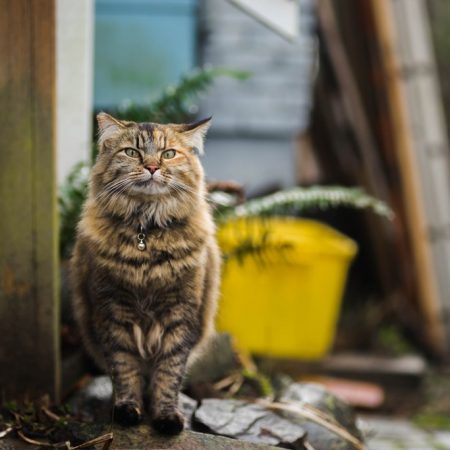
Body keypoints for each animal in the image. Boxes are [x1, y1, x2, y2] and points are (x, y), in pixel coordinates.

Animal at [70, 113, 221, 436]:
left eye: (169, 154)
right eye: (132, 152)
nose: (152, 167)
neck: (145, 235)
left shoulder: (180, 315)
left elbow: (168, 374)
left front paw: (166, 417)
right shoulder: (113, 313)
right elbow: (125, 369)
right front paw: (128, 411)